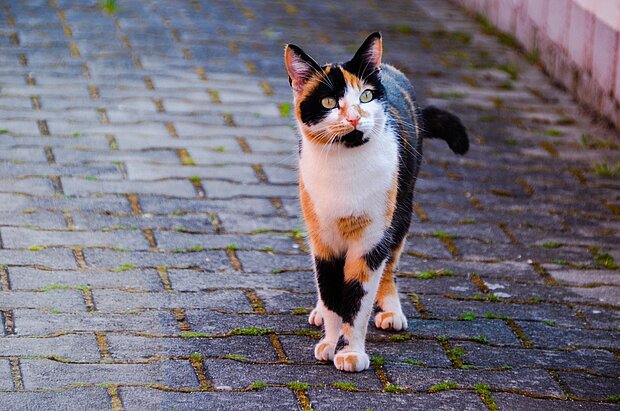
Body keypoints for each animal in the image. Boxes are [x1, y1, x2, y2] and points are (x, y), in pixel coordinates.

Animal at [284, 32, 468, 374]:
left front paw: (350, 352)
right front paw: (330, 343)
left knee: (390, 265)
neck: (346, 169)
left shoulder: (371, 241)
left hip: (402, 209)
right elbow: (331, 295)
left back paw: (391, 311)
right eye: (329, 102)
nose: (355, 116)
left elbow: (357, 300)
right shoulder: (323, 239)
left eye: (366, 96)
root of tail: (391, 69)